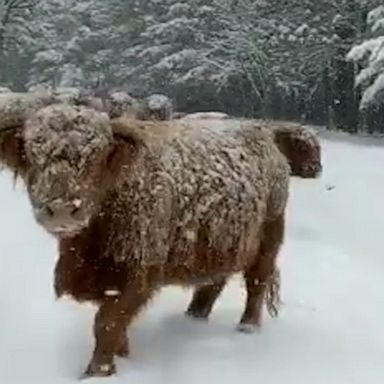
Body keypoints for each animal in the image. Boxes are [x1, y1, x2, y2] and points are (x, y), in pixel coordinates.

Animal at [0, 94, 290, 378]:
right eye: (32, 153)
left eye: (96, 157)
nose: (61, 208)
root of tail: (264, 134)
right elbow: (116, 324)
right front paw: (123, 355)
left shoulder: (138, 270)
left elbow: (107, 322)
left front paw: (99, 371)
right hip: (222, 239)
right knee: (214, 281)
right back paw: (194, 316)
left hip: (270, 234)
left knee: (257, 281)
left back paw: (247, 327)